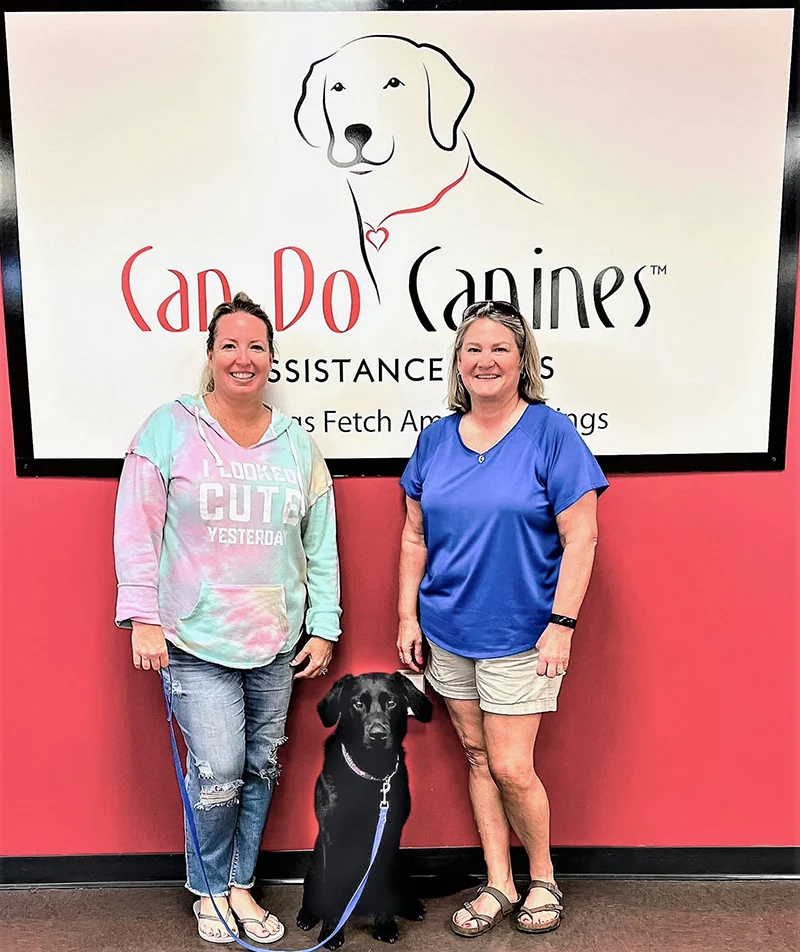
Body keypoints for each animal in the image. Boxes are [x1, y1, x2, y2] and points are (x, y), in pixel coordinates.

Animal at [296, 672, 432, 948]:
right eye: (357, 703)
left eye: (392, 702)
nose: (378, 734)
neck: (372, 770)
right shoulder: (332, 837)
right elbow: (332, 888)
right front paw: (331, 932)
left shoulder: (389, 836)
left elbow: (383, 884)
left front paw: (385, 925)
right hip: (315, 866)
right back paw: (307, 915)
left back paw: (412, 907)